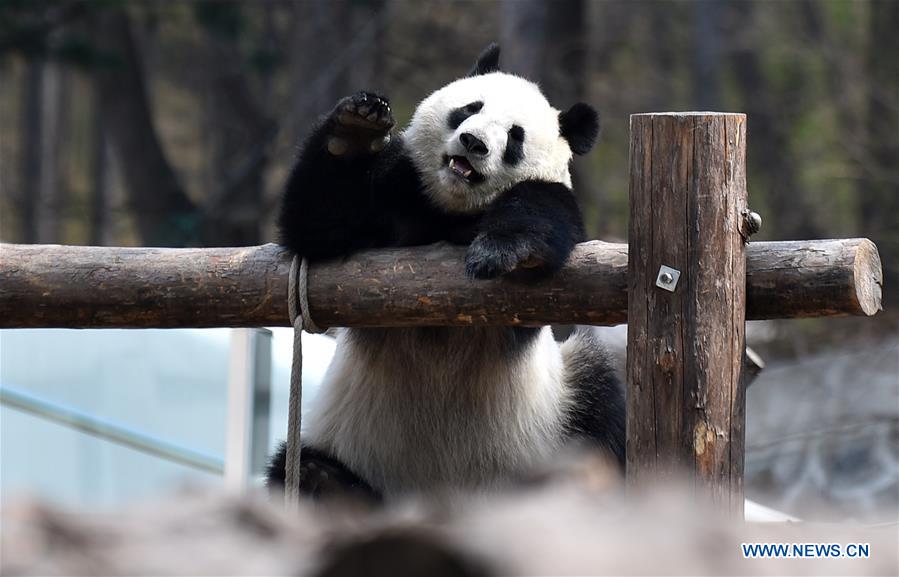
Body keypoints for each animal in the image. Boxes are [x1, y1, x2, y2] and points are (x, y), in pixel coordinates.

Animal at [267, 43, 625, 503]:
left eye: (515, 136)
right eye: (470, 108)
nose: (473, 143)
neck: (452, 213)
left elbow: (542, 212)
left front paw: (500, 250)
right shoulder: (397, 194)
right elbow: (318, 228)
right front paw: (352, 131)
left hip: (561, 414)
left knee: (600, 404)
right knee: (298, 468)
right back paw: (328, 484)